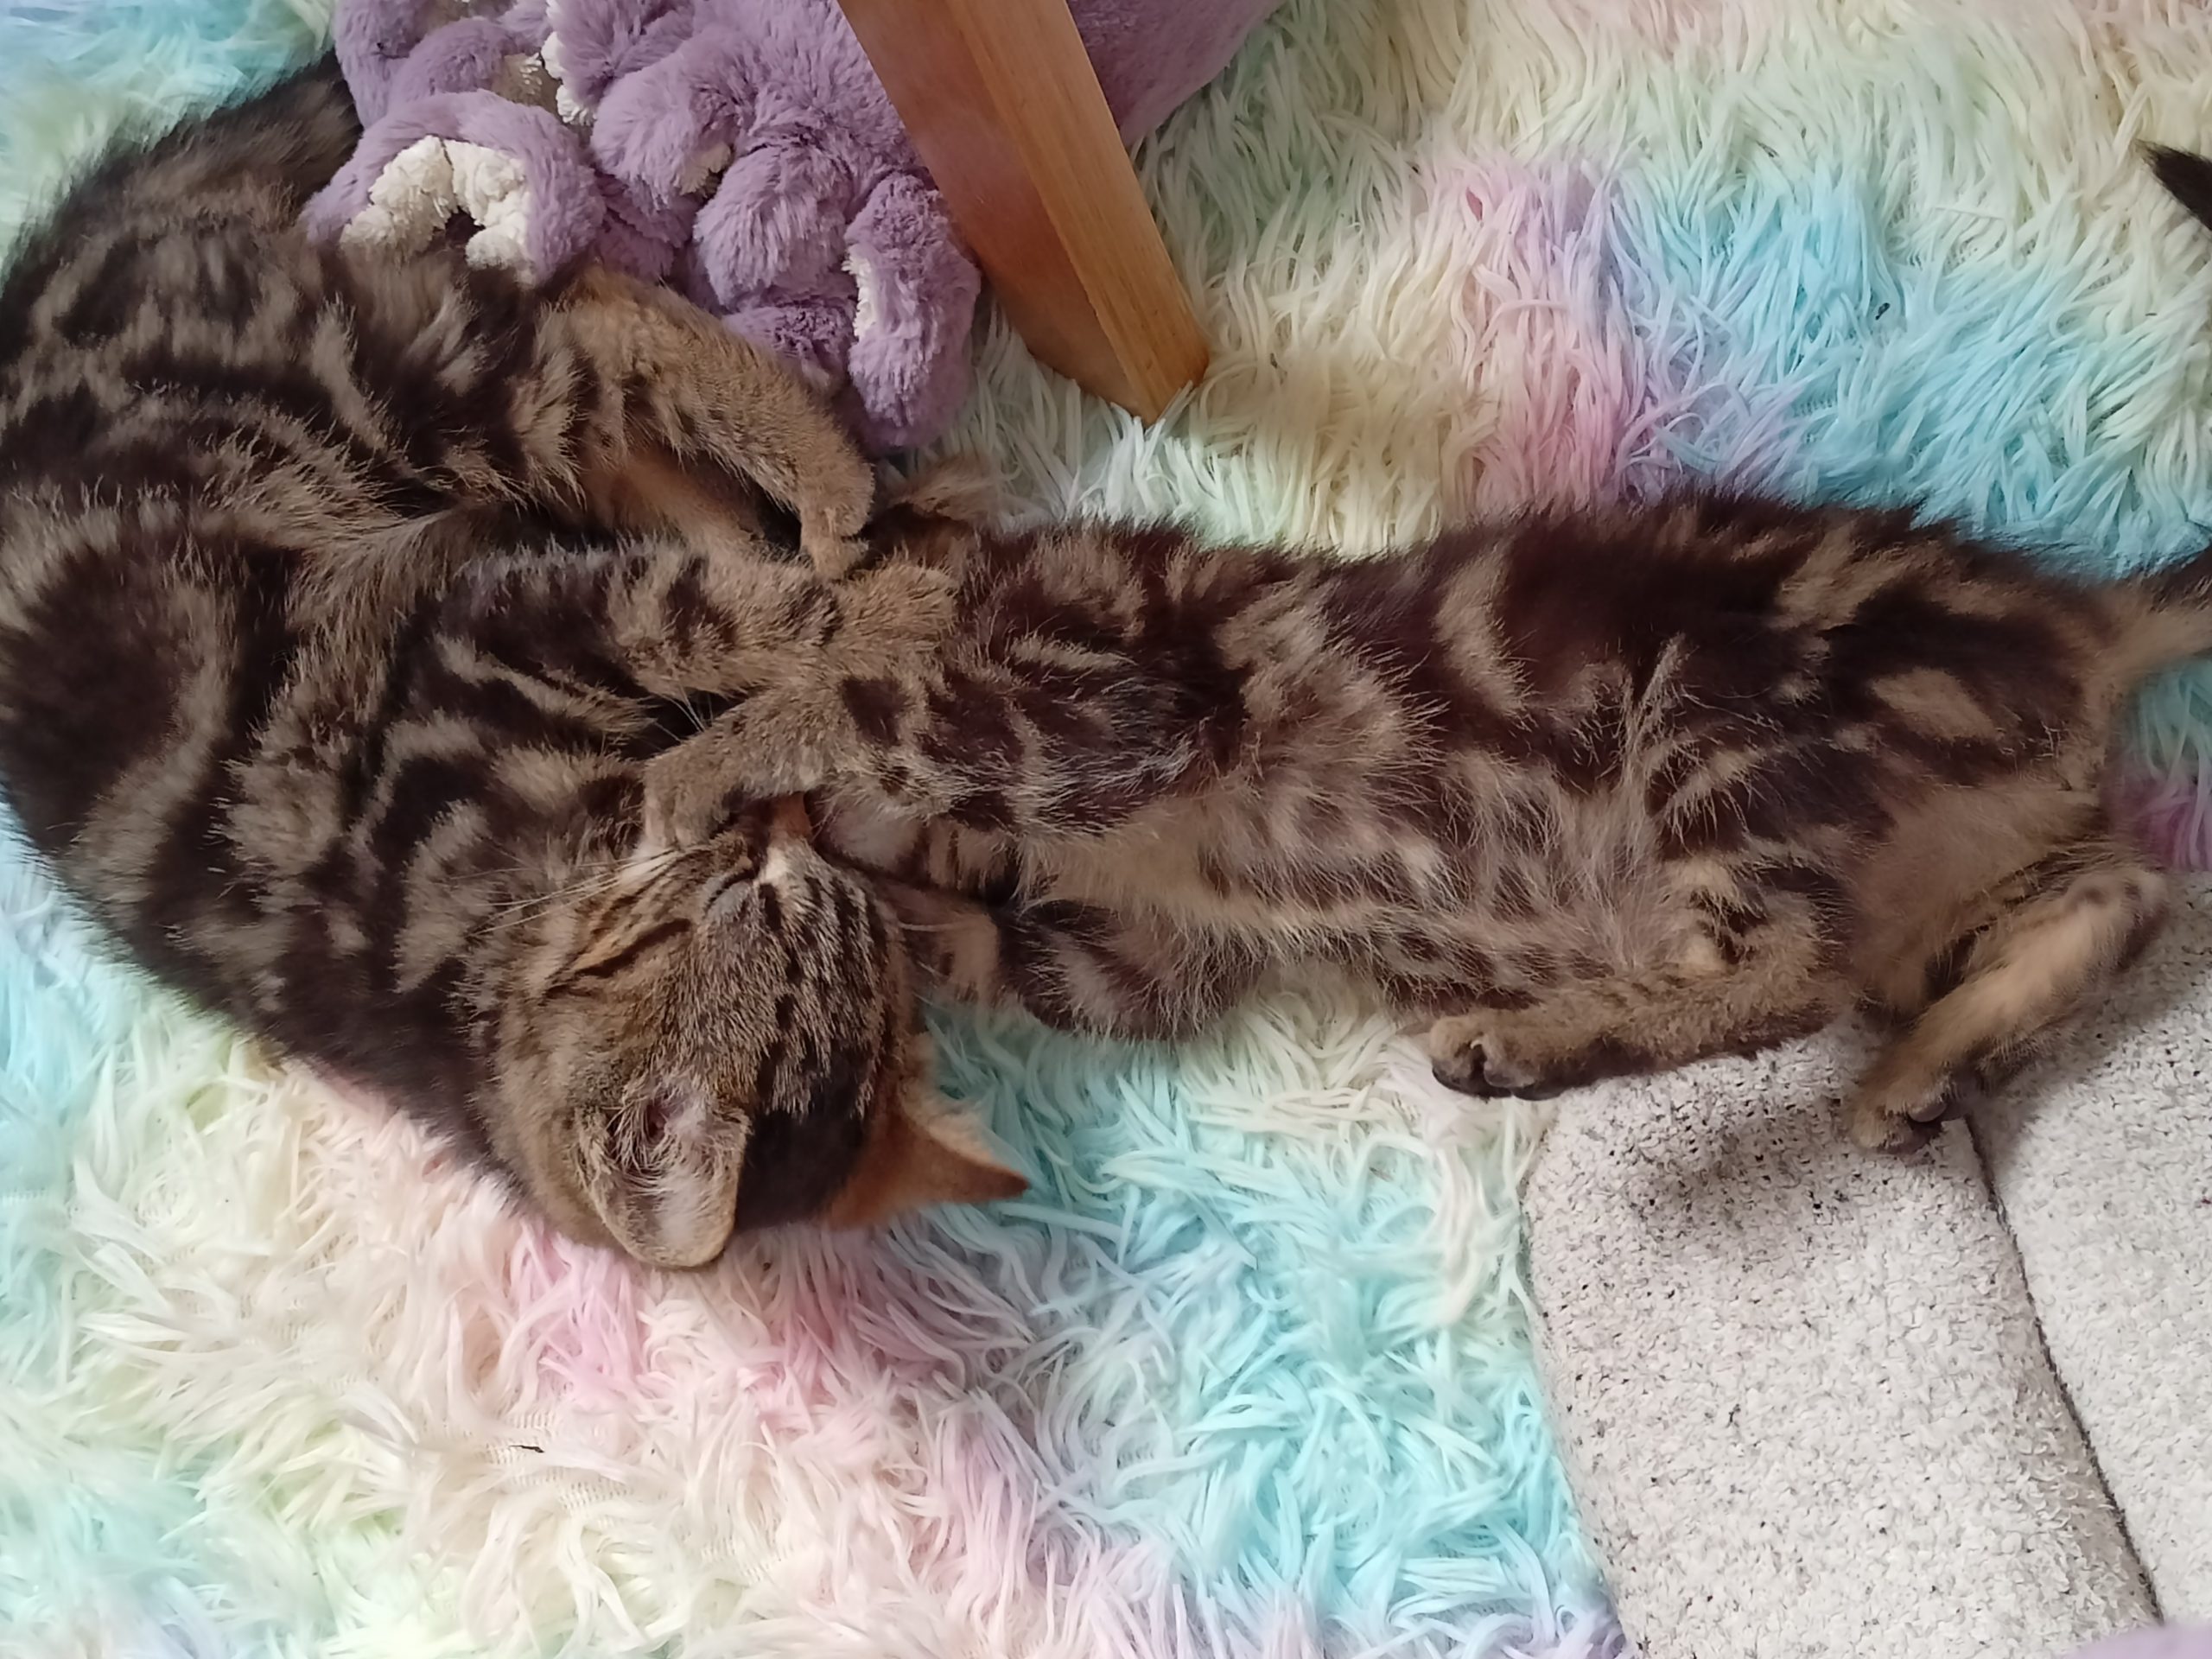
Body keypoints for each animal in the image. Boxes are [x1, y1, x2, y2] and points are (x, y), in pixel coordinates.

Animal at [0, 59, 1022, 1269]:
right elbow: (709, 613)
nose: (767, 826)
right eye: (748, 893)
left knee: (602, 355)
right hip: (400, 382)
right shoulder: (492, 623)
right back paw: (838, 494)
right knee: (596, 342)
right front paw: (885, 620)